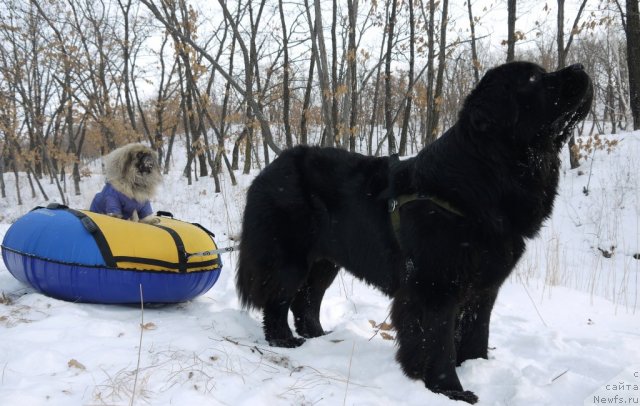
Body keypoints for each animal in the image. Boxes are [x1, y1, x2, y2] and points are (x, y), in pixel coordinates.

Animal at [238, 61, 592, 404]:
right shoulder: (434, 288)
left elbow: (476, 333)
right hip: (288, 257)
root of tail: (269, 169)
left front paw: (475, 367)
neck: (483, 178)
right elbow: (437, 341)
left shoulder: (483, 288)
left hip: (326, 262)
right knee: (277, 299)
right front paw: (451, 390)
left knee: (307, 300)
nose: (580, 67)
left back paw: (319, 337)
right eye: (533, 78)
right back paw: (284, 341)